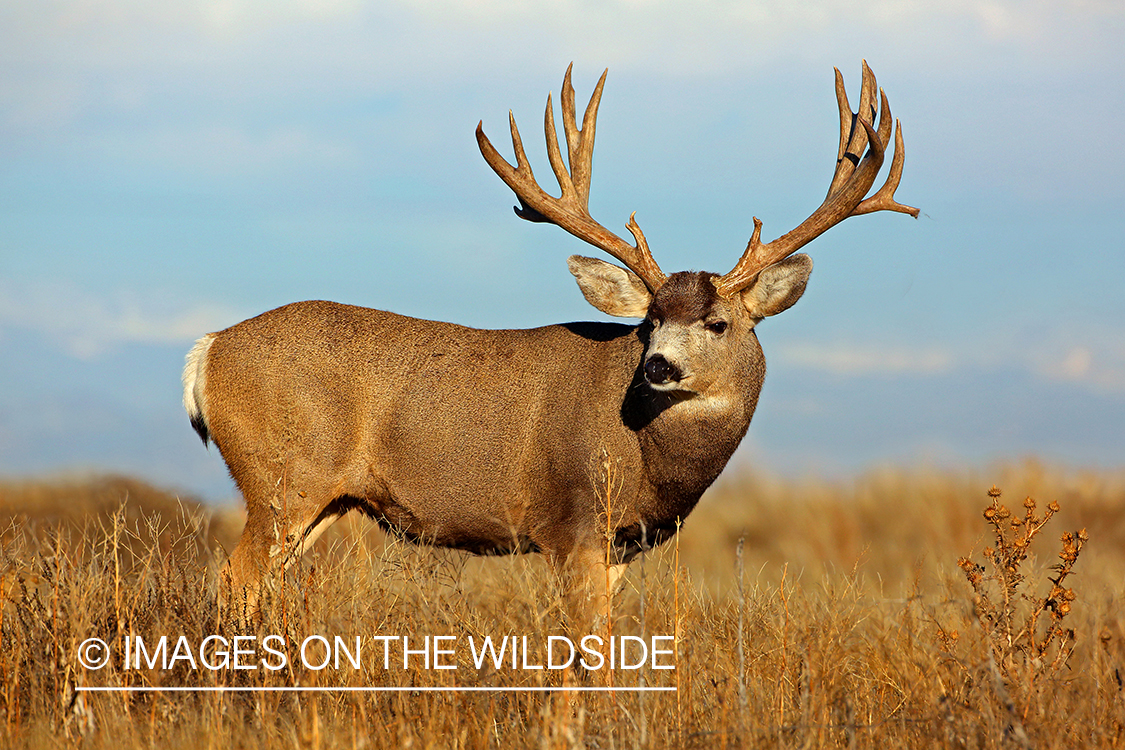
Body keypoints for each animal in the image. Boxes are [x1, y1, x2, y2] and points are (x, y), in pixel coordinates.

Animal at [182, 61, 913, 625]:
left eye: (718, 323)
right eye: (649, 320)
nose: (658, 366)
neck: (651, 461)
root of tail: (207, 350)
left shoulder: (619, 547)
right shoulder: (572, 525)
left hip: (324, 500)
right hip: (283, 477)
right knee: (233, 580)